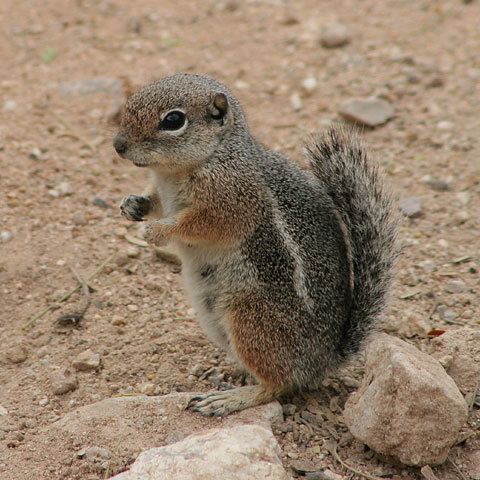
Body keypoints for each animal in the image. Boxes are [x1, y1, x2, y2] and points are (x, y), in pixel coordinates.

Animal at [114, 72, 400, 416]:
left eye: (173, 120)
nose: (118, 146)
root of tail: (323, 361)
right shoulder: (164, 190)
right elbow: (154, 201)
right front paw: (132, 206)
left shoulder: (232, 199)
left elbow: (201, 224)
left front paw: (156, 232)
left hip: (250, 319)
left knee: (279, 384)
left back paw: (230, 399)